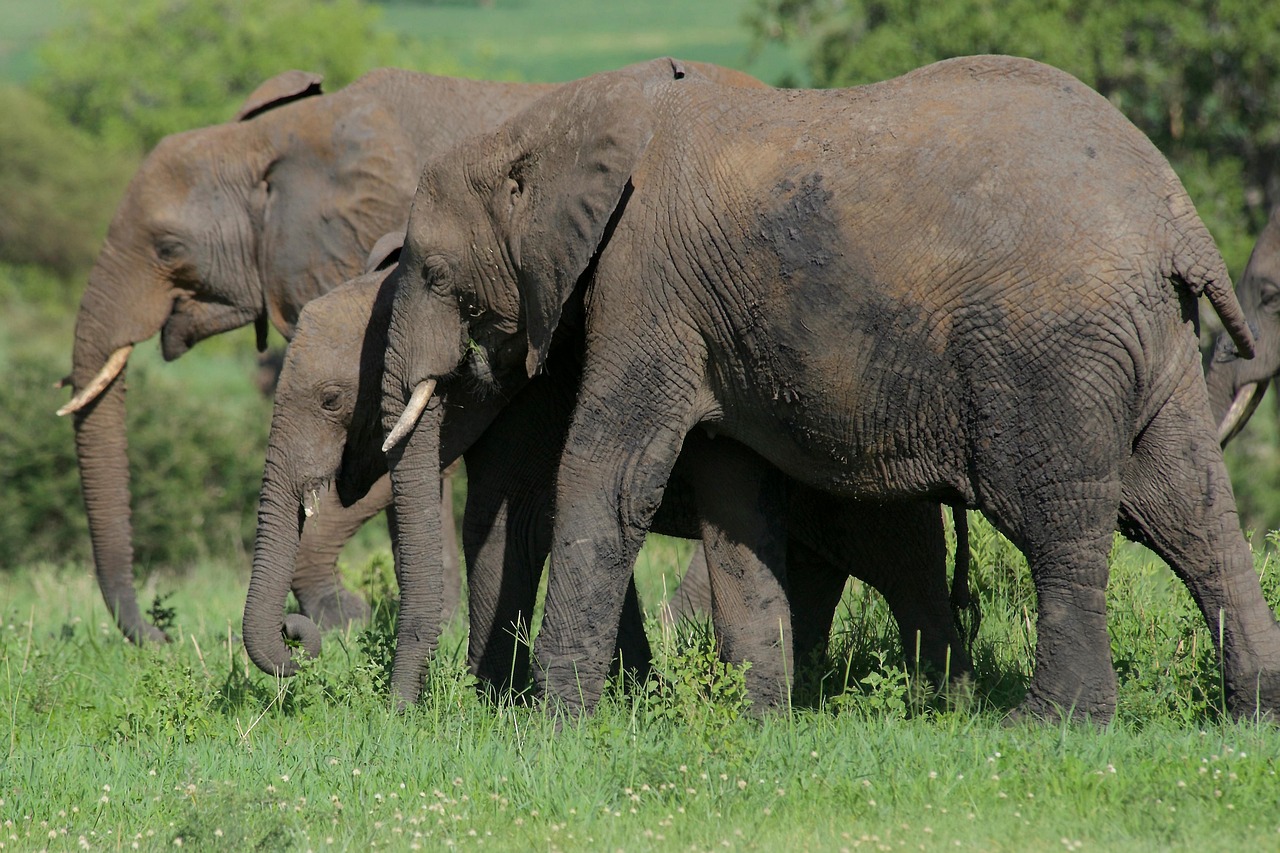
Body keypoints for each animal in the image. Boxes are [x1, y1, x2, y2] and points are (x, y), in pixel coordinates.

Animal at [245, 233, 974, 702]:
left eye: (332, 400)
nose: (301, 642)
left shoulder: (542, 401)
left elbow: (516, 522)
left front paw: (491, 702)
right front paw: (632, 696)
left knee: (902, 565)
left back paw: (943, 700)